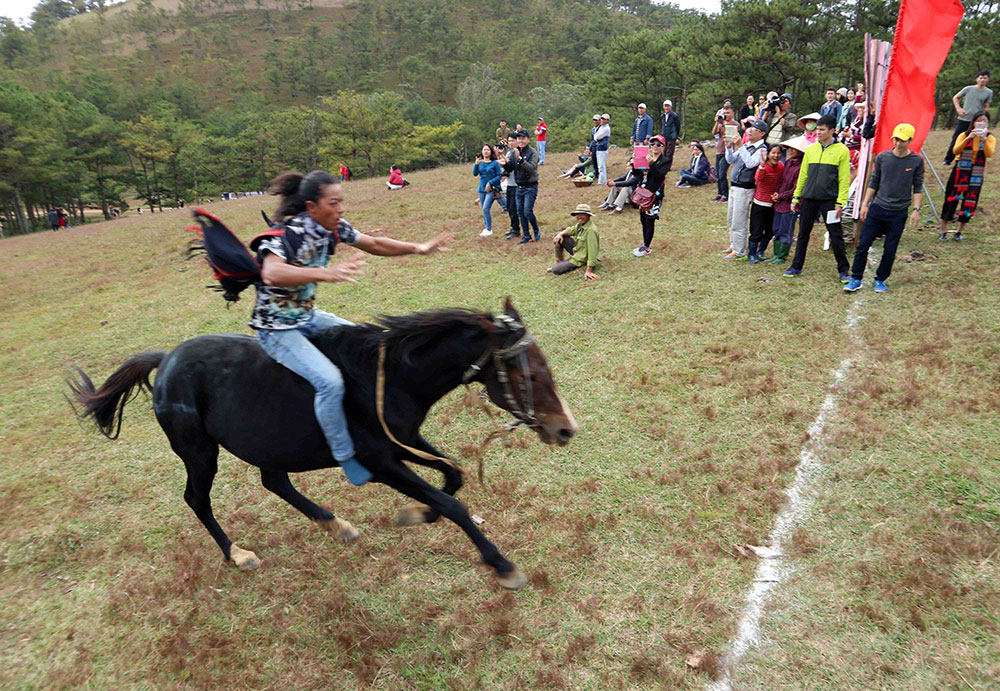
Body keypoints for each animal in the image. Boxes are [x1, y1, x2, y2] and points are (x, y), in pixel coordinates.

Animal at [70, 300, 580, 592]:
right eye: (529, 376)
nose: (565, 430)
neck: (386, 377)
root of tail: (167, 358)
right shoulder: (377, 460)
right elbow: (451, 503)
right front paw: (501, 564)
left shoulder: (403, 440)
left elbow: (451, 475)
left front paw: (419, 514)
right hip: (198, 451)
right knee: (198, 498)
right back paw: (239, 554)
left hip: (265, 444)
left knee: (274, 480)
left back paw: (337, 525)